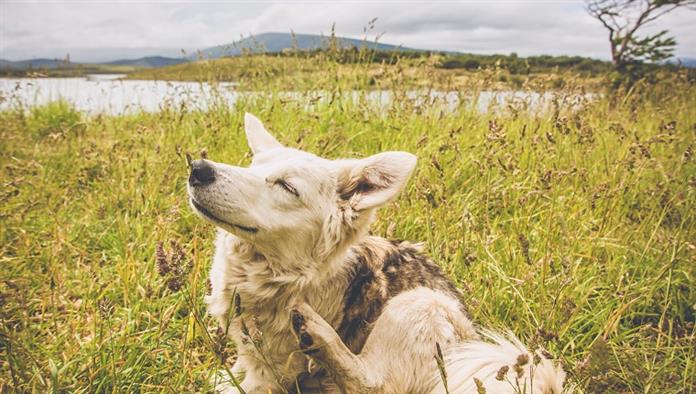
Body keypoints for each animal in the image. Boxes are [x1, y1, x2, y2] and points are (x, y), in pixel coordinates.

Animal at [186, 112, 564, 392]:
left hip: (419, 303)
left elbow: (255, 382)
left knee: (371, 384)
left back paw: (318, 334)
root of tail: (472, 342)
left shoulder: (274, 370)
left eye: (286, 186)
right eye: (252, 168)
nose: (198, 168)